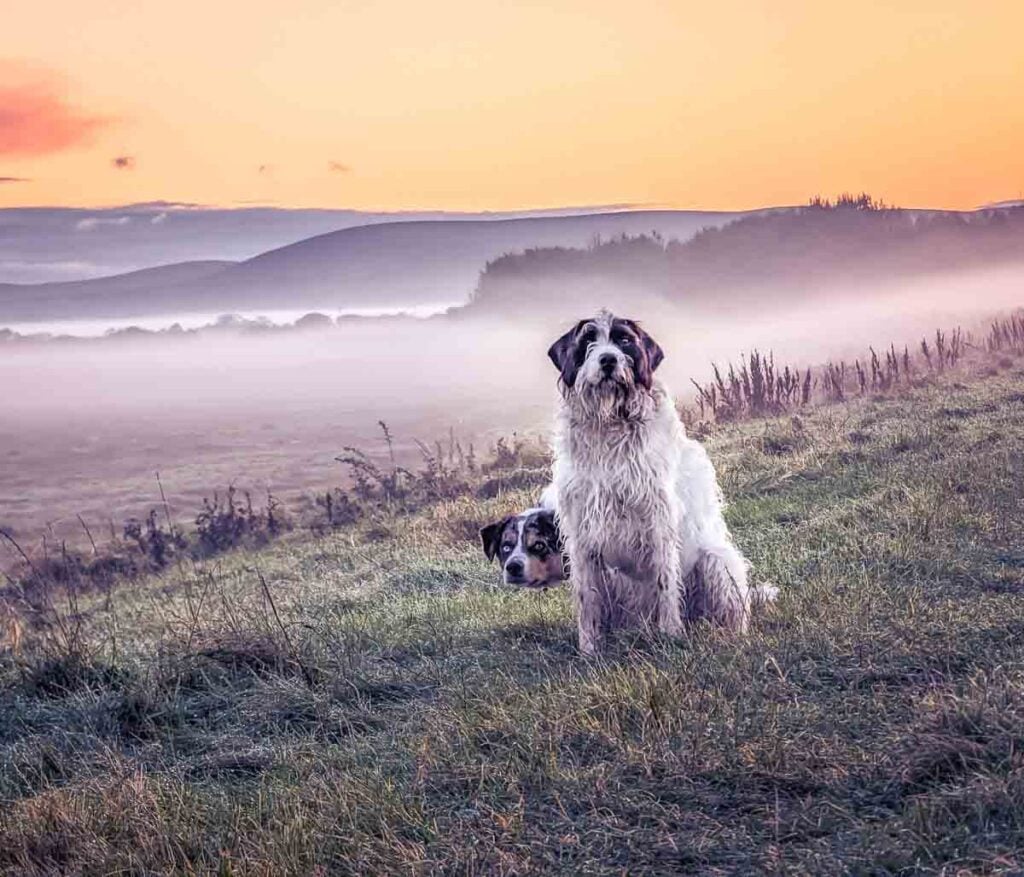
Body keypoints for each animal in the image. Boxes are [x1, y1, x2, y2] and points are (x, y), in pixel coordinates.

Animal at [548, 311, 770, 655]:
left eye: (624, 340)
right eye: (588, 341)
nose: (608, 360)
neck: (610, 428)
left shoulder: (659, 520)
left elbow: (666, 582)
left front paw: (671, 635)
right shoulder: (582, 533)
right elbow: (587, 598)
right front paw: (589, 648)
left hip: (715, 560)